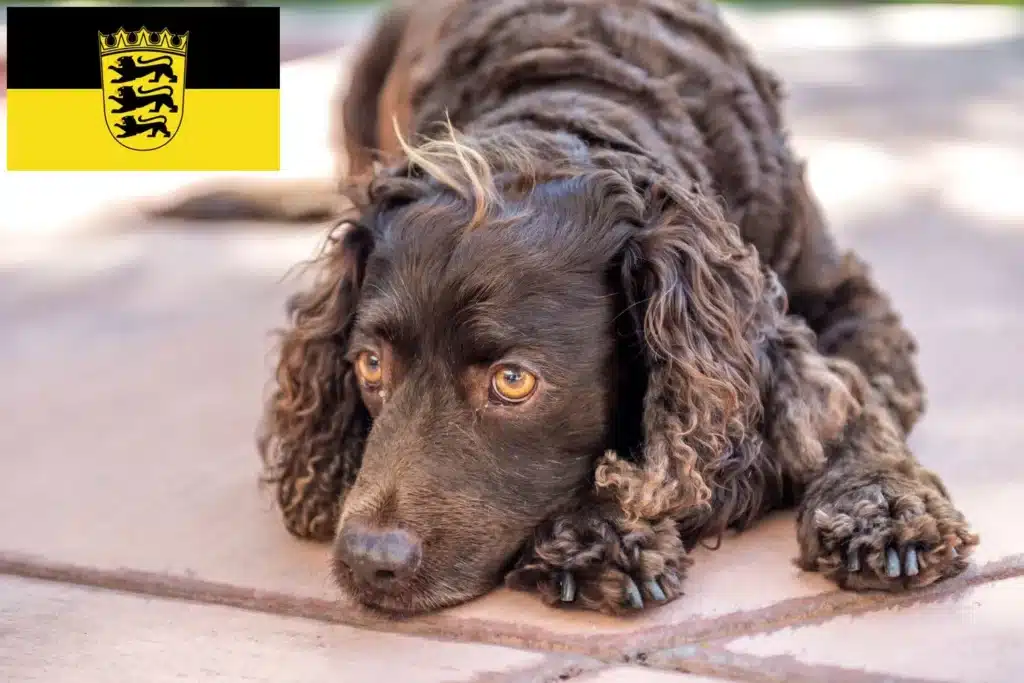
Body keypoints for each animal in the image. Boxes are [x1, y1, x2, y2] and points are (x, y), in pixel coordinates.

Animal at [163, 0, 978, 618]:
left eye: (514, 381)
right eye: (368, 364)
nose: (369, 561)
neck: (576, 95)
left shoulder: (846, 302)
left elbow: (855, 402)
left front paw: (883, 509)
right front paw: (600, 533)